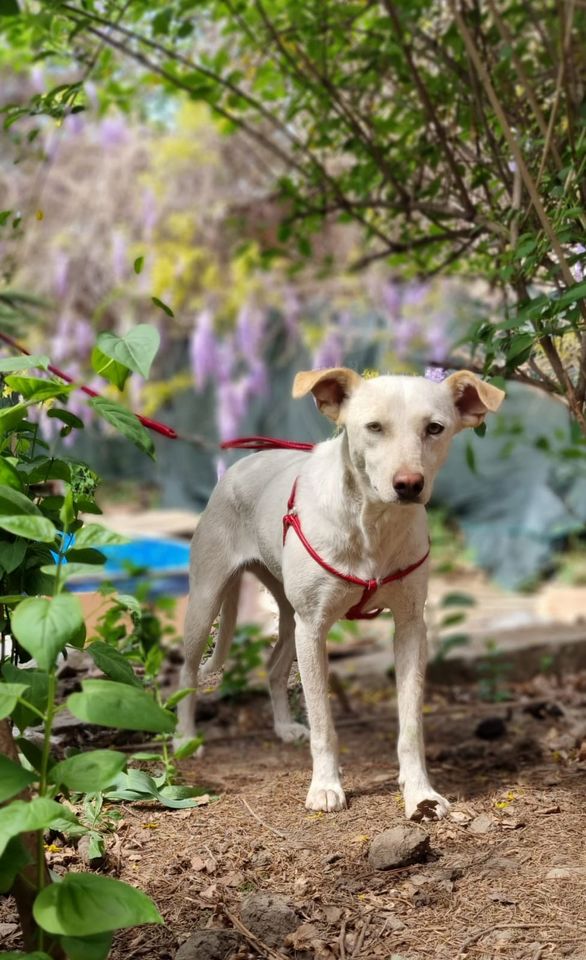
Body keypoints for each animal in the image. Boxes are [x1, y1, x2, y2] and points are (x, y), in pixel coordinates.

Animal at [177, 372, 502, 820]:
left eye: (434, 428)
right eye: (374, 427)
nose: (409, 485)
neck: (372, 522)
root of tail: (241, 464)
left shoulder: (410, 627)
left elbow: (411, 724)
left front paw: (420, 793)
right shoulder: (314, 628)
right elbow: (323, 723)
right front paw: (326, 787)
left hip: (287, 614)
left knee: (274, 667)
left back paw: (283, 727)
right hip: (208, 600)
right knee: (187, 672)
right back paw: (184, 738)